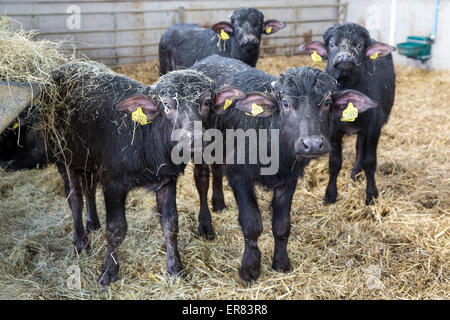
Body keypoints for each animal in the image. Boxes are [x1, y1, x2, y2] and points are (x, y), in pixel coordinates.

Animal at [300, 22, 396, 204]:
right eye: (332, 44)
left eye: (359, 45)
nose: (344, 57)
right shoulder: (334, 131)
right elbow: (334, 163)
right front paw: (330, 195)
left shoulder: (373, 128)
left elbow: (370, 161)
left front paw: (371, 194)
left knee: (360, 149)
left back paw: (356, 173)